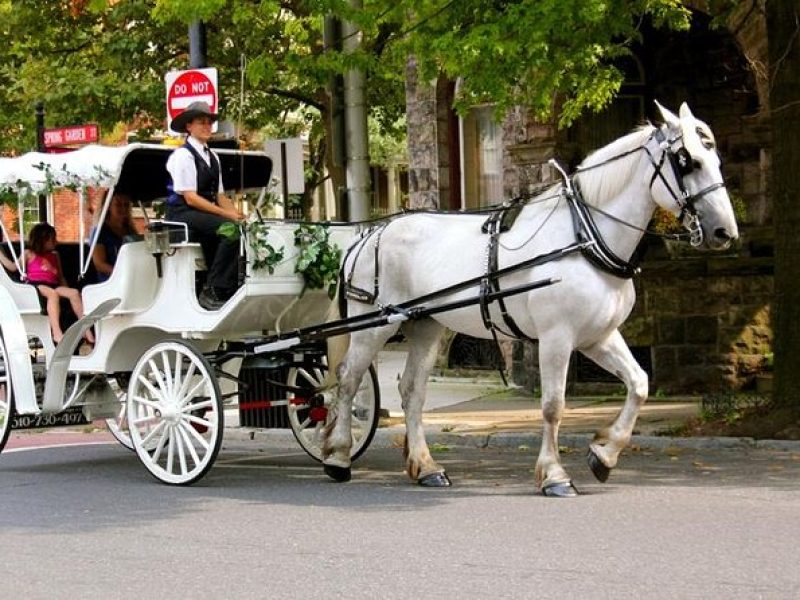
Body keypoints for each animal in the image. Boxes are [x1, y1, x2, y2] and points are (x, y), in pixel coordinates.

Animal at [320, 103, 736, 496]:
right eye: (688, 161)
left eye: (716, 159)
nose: (725, 232)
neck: (584, 238)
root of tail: (369, 235)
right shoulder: (556, 337)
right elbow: (553, 406)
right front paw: (555, 475)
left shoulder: (598, 336)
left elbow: (639, 384)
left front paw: (604, 453)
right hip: (373, 326)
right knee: (348, 378)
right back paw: (338, 455)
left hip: (426, 325)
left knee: (411, 391)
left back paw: (426, 466)